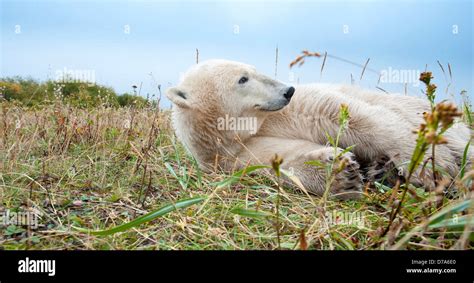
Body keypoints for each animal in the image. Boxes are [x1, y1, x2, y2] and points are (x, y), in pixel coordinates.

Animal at [167, 59, 470, 200]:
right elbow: (279, 160)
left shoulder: (291, 111)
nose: (287, 90)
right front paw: (340, 174)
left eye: (252, 70)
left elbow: (342, 114)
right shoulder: (231, 156)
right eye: (243, 79)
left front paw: (430, 166)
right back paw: (381, 170)